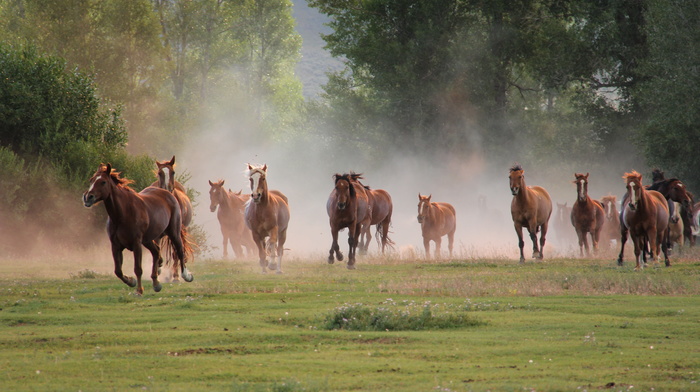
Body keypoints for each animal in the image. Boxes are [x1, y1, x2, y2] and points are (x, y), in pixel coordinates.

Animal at [83, 162, 193, 294]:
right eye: (91, 180)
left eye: (103, 182)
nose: (88, 197)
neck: (123, 214)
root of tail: (168, 194)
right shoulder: (115, 245)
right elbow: (118, 271)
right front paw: (131, 281)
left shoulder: (136, 244)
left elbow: (138, 269)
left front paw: (139, 290)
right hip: (148, 240)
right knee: (156, 252)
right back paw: (156, 283)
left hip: (174, 233)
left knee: (179, 251)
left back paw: (185, 276)